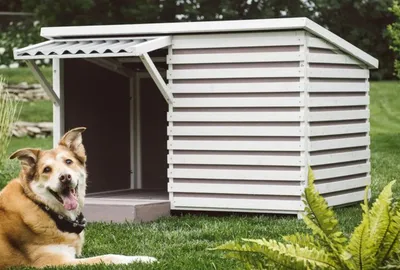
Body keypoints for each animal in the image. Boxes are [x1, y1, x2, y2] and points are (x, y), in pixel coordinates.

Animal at [0, 126, 157, 268]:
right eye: (47, 169)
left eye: (68, 161)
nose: (65, 177)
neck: (44, 209)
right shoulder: (55, 262)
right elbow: (108, 256)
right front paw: (144, 259)